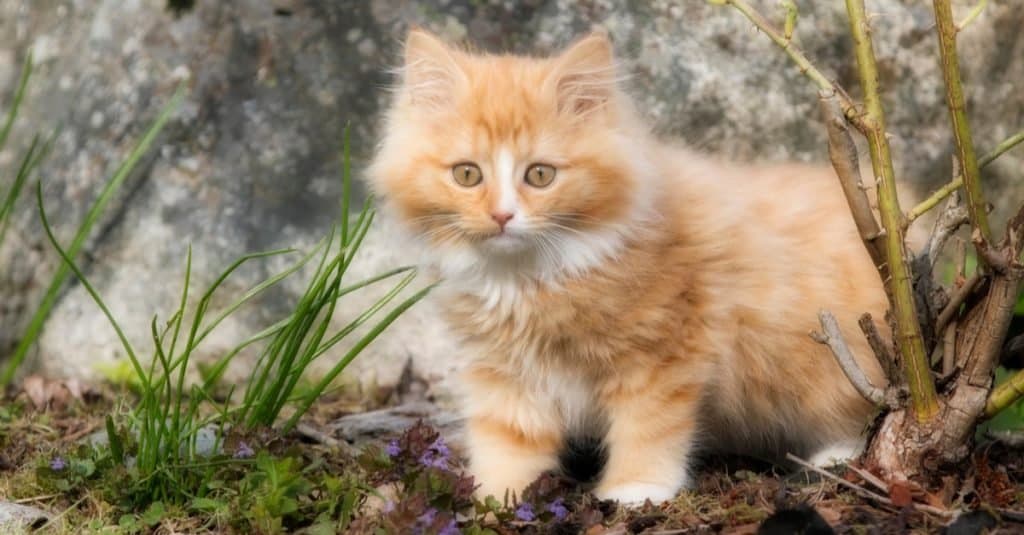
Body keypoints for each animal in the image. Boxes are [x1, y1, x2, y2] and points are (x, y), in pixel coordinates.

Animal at [368, 29, 888, 504]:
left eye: (540, 175)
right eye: (467, 174)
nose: (501, 216)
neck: (532, 277)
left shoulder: (662, 355)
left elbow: (647, 428)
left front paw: (635, 490)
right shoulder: (505, 371)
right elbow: (507, 440)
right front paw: (497, 499)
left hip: (840, 361)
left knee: (864, 413)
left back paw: (832, 459)